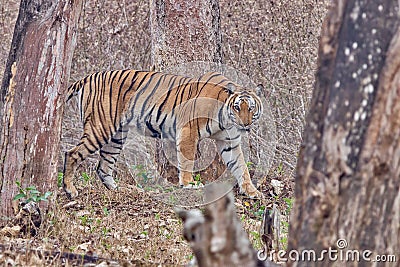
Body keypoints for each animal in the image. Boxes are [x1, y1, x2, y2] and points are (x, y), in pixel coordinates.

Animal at [63, 70, 262, 200]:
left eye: (251, 108)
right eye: (237, 107)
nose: (245, 124)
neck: (226, 120)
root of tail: (87, 77)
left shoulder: (229, 142)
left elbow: (241, 167)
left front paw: (252, 191)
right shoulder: (188, 131)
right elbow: (187, 160)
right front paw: (189, 184)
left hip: (117, 136)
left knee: (103, 166)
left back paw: (118, 190)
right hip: (100, 128)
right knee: (72, 153)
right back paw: (70, 190)